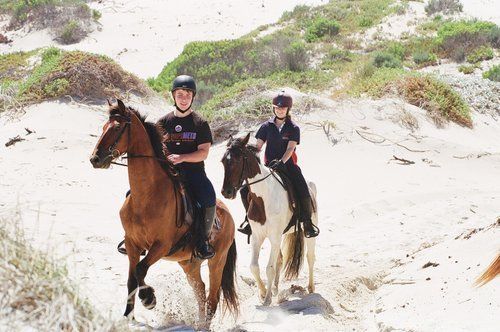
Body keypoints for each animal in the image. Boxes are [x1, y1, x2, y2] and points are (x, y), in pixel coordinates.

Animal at [90, 98, 238, 326]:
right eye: (104, 127)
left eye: (116, 128)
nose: (95, 159)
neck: (147, 196)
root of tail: (229, 215)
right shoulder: (132, 244)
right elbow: (131, 279)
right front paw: (127, 316)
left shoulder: (161, 245)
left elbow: (140, 270)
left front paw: (149, 298)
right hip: (188, 263)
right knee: (200, 290)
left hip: (217, 260)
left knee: (213, 296)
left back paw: (203, 325)